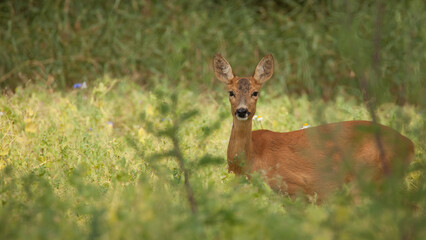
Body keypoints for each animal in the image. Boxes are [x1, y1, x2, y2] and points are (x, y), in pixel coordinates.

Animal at [215, 54, 414, 201]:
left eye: (255, 93)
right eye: (231, 92)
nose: (242, 111)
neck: (248, 159)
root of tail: (409, 144)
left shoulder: (293, 185)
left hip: (368, 175)